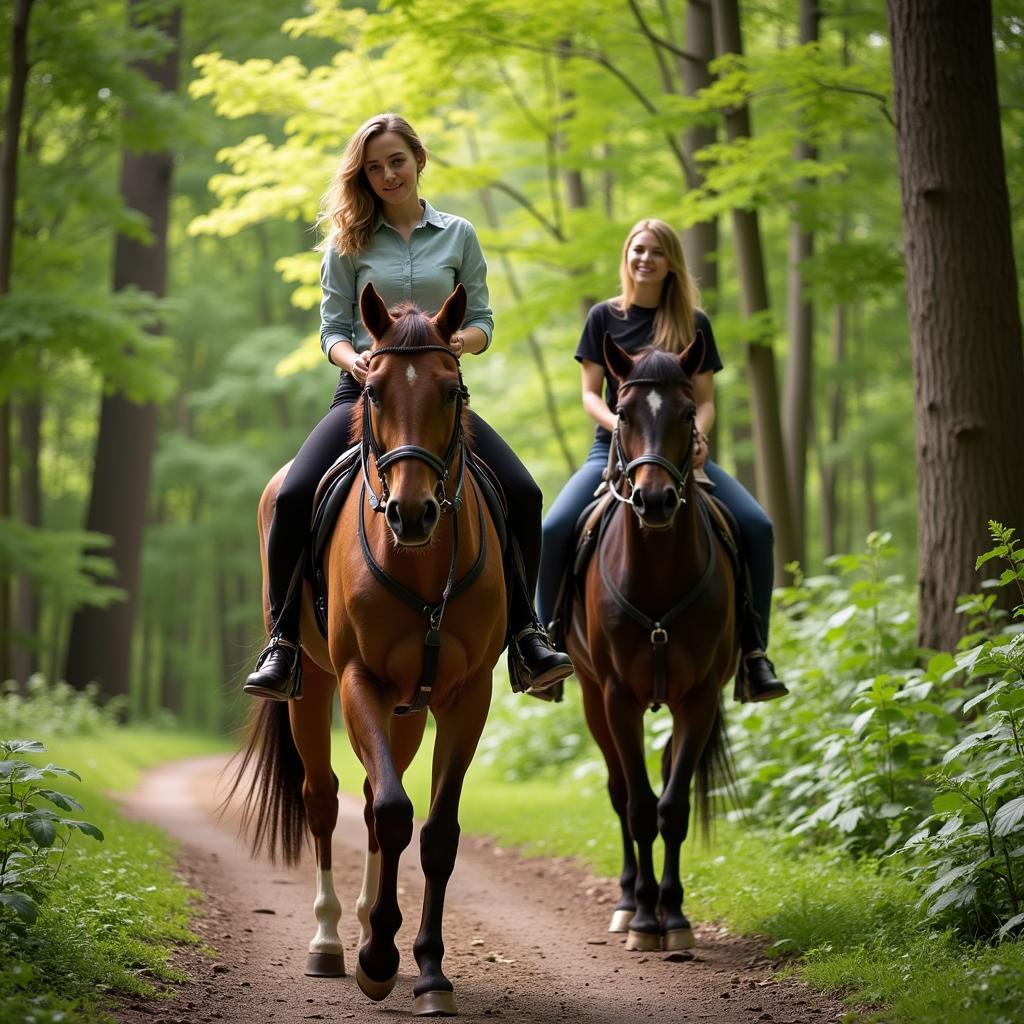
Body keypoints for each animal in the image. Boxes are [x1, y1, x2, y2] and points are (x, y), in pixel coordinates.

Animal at [230, 280, 505, 1015]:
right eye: (374, 391)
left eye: (451, 389)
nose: (411, 513)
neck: (418, 562)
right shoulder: (359, 680)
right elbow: (389, 811)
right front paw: (378, 959)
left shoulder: (468, 696)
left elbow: (434, 832)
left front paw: (430, 970)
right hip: (312, 685)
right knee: (325, 798)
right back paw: (330, 942)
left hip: (409, 708)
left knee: (376, 792)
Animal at [569, 335, 737, 950]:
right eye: (621, 412)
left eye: (688, 413)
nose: (656, 501)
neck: (659, 570)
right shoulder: (618, 697)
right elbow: (639, 807)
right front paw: (643, 919)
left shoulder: (700, 698)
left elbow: (674, 806)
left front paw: (675, 916)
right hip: (593, 699)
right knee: (620, 792)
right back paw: (625, 903)